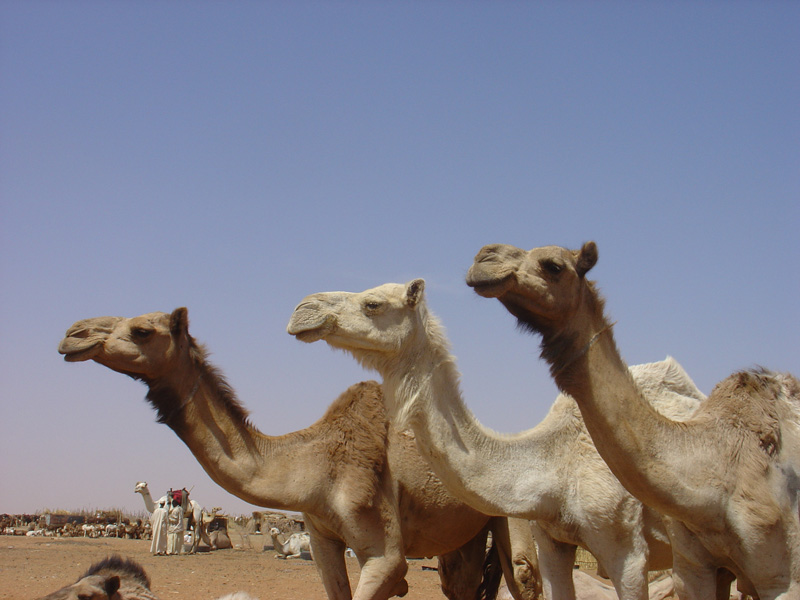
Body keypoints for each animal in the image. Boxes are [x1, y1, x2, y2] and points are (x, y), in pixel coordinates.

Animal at [58, 308, 539, 600]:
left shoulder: (384, 552)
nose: (72, 335)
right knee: (462, 581)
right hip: (464, 533)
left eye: (141, 330)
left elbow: (390, 567)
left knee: (523, 575)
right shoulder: (322, 535)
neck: (310, 466)